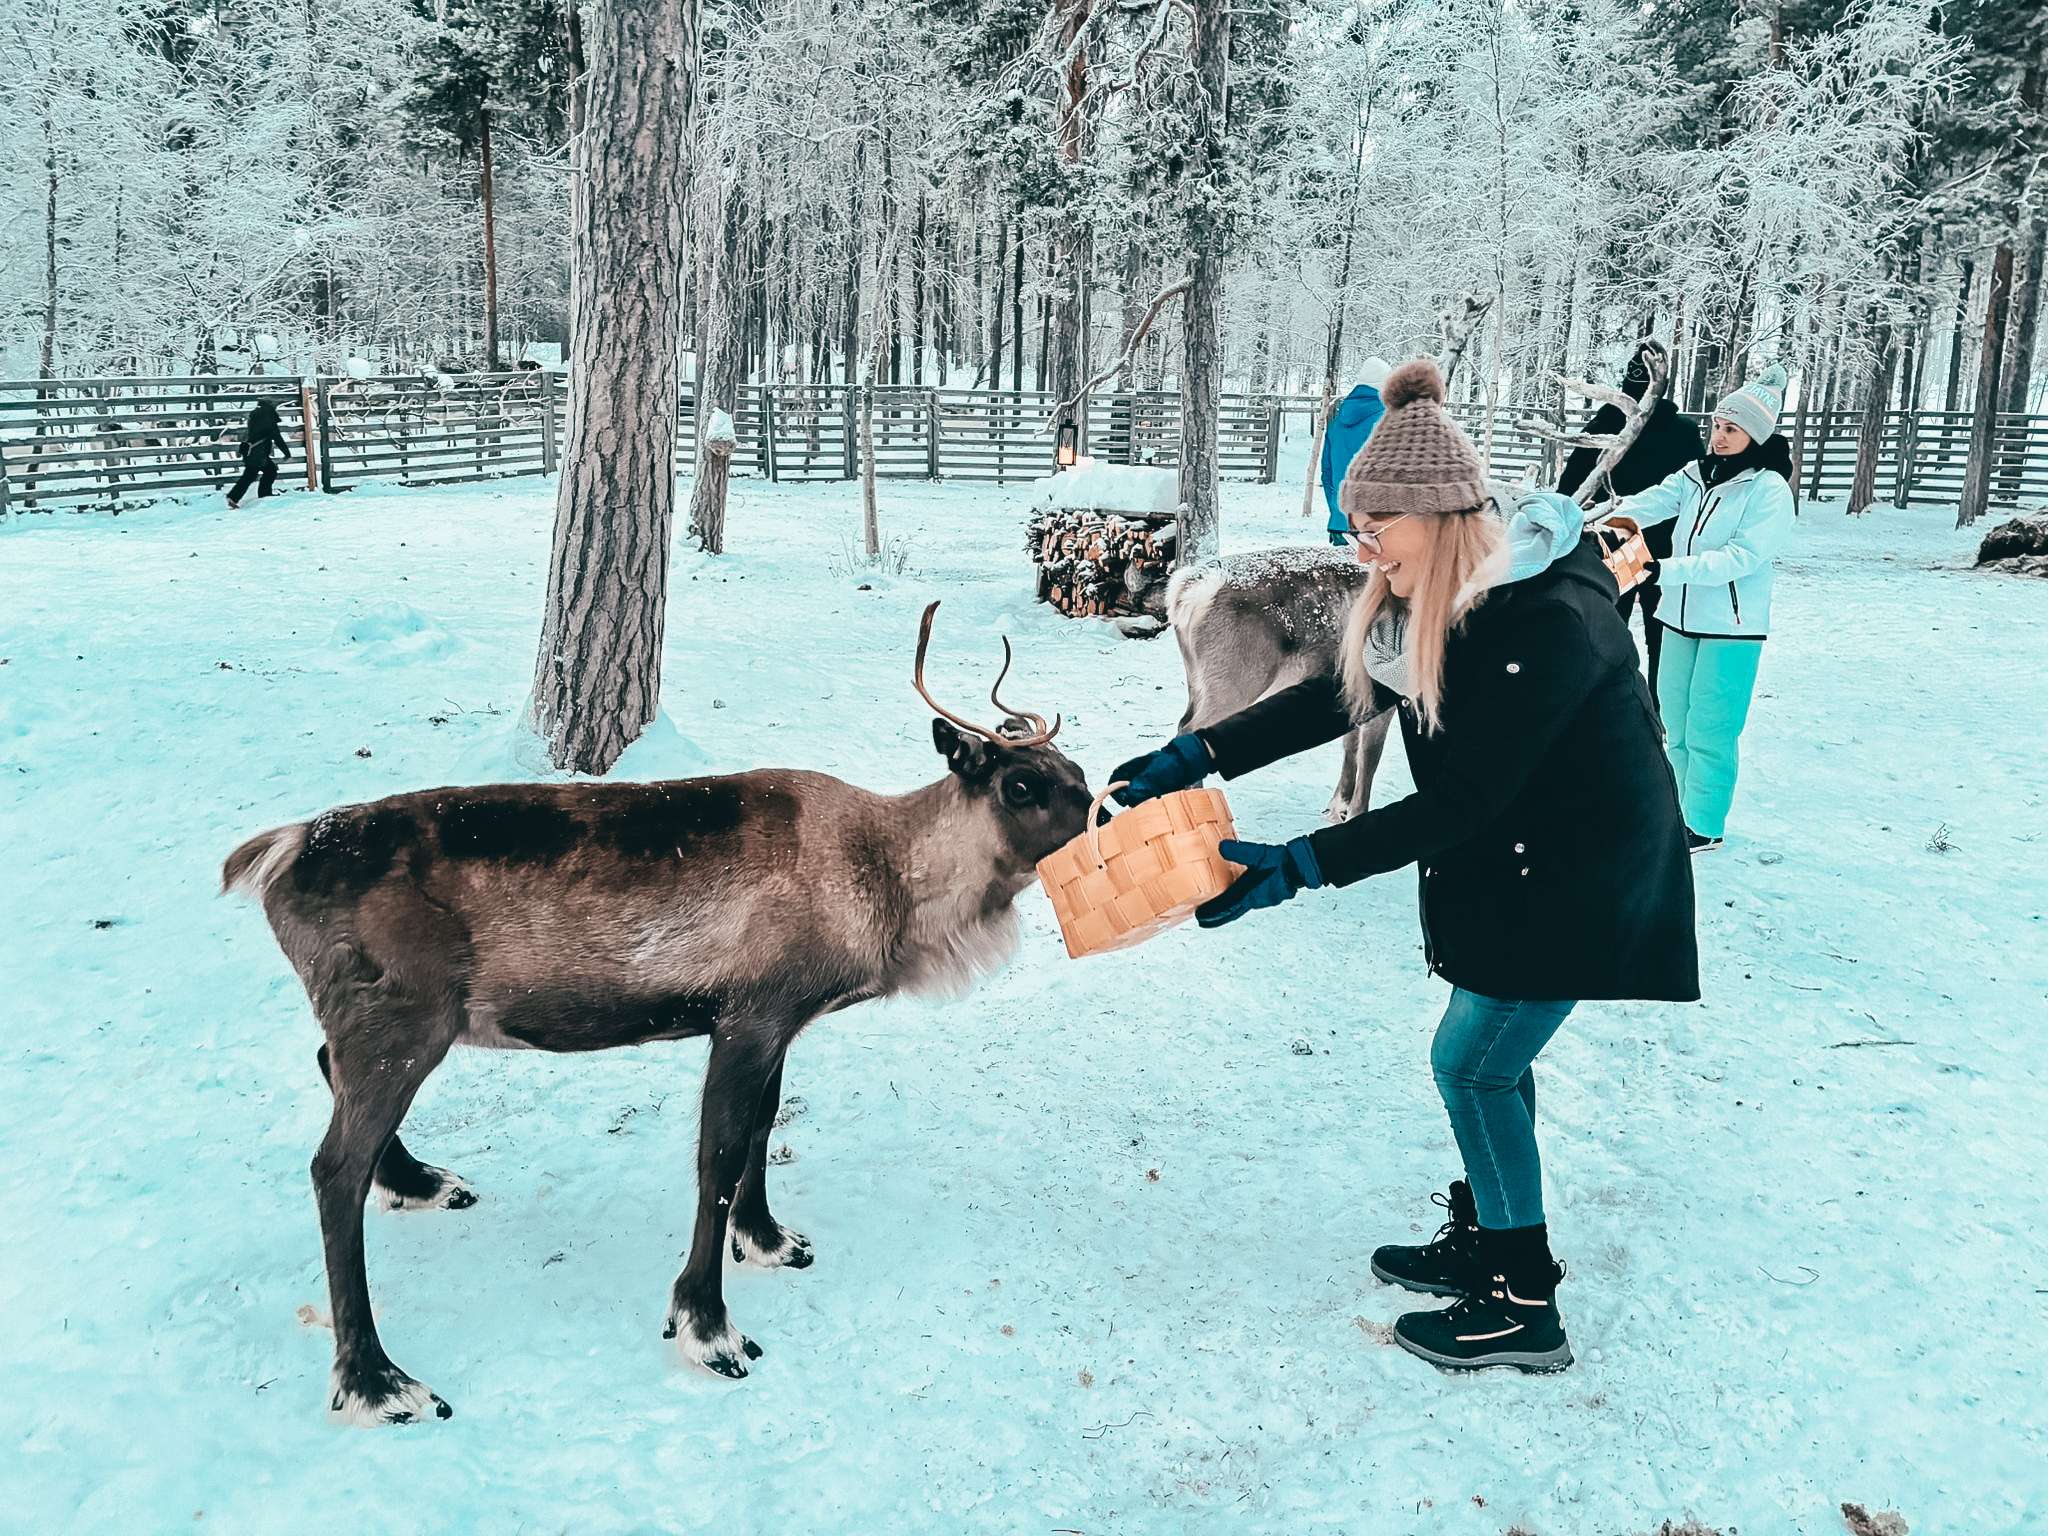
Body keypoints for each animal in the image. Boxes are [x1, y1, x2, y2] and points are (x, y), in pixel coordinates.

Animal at [221, 603, 1091, 1426]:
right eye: (1019, 784)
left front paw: (768, 1239)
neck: (883, 879)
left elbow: (764, 1127)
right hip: (404, 1022)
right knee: (333, 1168)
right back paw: (376, 1379)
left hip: (378, 1026)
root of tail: (274, 852)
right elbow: (719, 1156)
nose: (1104, 816)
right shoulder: (748, 1017)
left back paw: (418, 1181)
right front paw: (707, 1325)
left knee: (328, 1073)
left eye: (1077, 770)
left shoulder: (780, 1022)